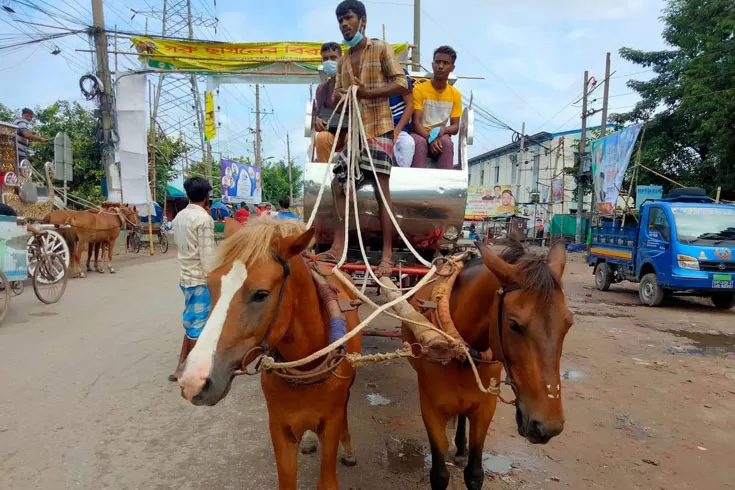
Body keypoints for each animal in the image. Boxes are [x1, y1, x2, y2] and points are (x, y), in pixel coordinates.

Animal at [178, 218, 362, 490]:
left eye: (261, 294)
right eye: (210, 286)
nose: (193, 381)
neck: (307, 369)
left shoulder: (331, 423)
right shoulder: (279, 428)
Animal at [408, 242, 576, 490]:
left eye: (568, 323)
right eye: (514, 325)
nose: (548, 426)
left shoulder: (485, 408)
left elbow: (475, 473)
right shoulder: (431, 410)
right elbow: (439, 476)